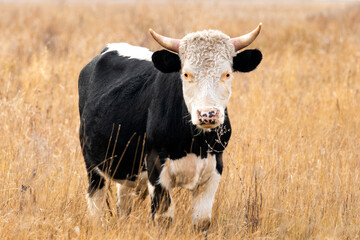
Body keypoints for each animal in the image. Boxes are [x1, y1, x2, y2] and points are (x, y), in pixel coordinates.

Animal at [79, 23, 262, 230]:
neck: (195, 144)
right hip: (92, 165)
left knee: (123, 203)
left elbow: (202, 221)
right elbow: (163, 219)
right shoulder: (157, 169)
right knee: (96, 201)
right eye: (186, 74)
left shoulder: (214, 169)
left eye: (227, 74)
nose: (207, 115)